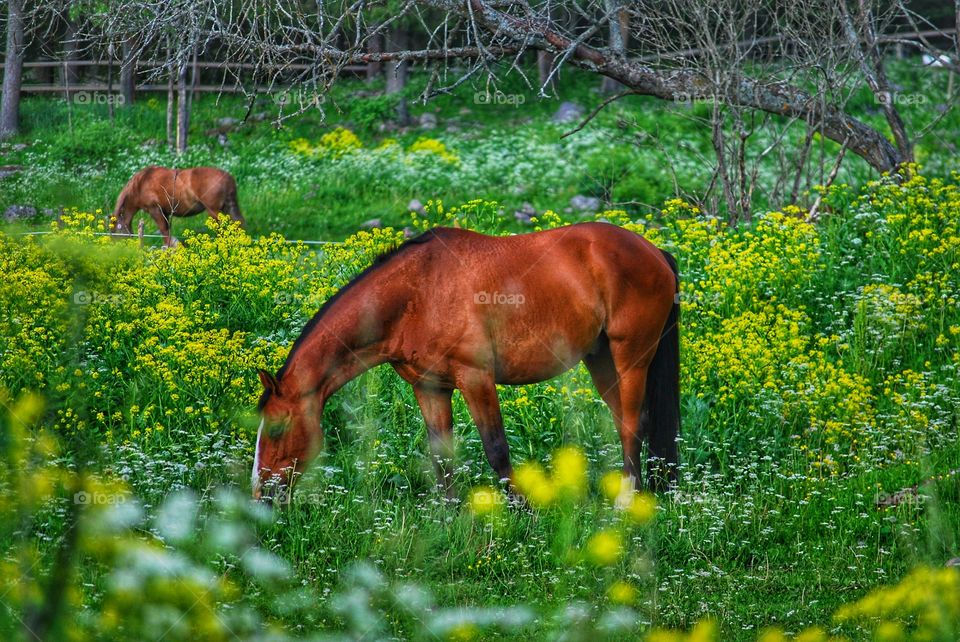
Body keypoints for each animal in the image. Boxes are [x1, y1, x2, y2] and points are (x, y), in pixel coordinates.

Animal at [111, 166, 245, 247]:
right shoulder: (165, 212)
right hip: (228, 208)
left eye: (115, 231)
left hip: (214, 211)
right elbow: (167, 230)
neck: (141, 183)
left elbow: (164, 231)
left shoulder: (155, 210)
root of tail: (228, 178)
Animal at [252, 222, 680, 502]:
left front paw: (522, 513)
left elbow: (497, 449)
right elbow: (441, 455)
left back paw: (626, 502)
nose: (261, 495)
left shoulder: (476, 379)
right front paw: (449, 516)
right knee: (624, 423)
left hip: (631, 359)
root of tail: (655, 252)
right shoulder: (429, 387)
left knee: (633, 424)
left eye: (276, 429)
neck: (417, 294)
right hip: (602, 361)